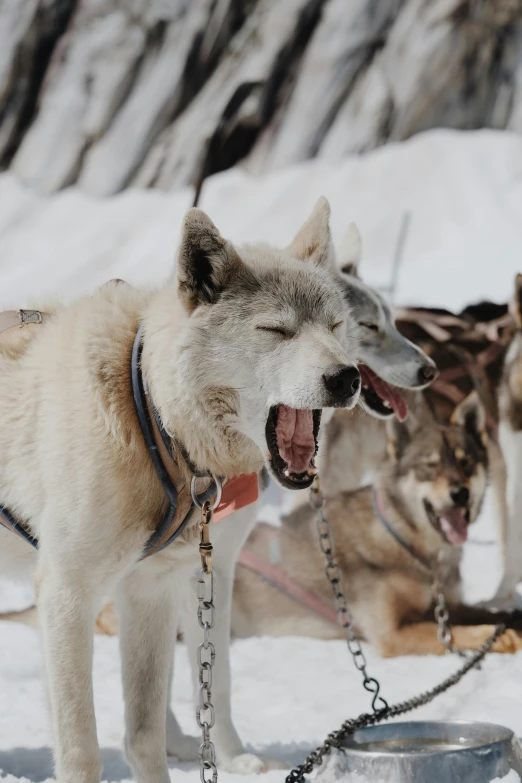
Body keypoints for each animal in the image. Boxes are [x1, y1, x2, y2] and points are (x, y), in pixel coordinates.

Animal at [233, 392, 522, 656]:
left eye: (466, 463)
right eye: (430, 465)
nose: (460, 493)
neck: (404, 539)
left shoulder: (444, 603)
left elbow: (486, 612)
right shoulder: (393, 633)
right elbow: (452, 632)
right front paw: (499, 636)